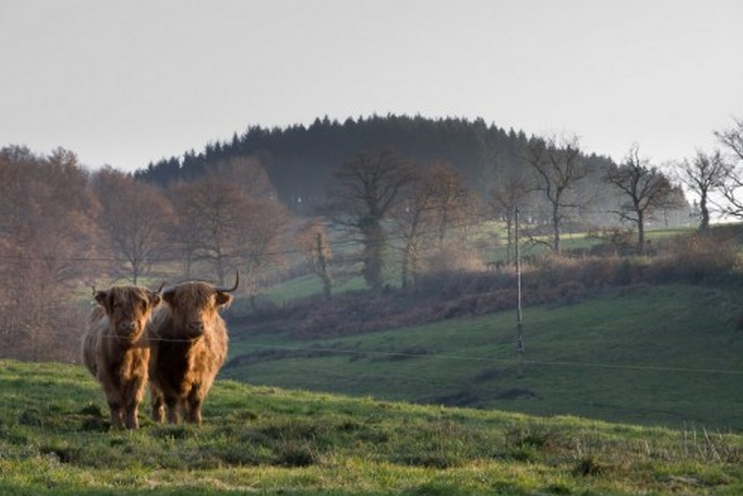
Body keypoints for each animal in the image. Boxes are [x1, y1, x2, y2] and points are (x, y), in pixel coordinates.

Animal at [81, 284, 161, 428]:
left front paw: (133, 425)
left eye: (141, 305)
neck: (126, 351)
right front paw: (117, 425)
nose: (129, 325)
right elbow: (114, 401)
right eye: (117, 305)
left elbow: (133, 400)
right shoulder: (106, 373)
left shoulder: (140, 373)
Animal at [145, 274, 238, 424]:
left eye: (209, 305)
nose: (196, 326)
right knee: (157, 399)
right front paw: (173, 422)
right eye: (183, 304)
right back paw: (157, 418)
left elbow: (196, 399)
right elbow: (171, 399)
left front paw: (195, 421)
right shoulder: (163, 373)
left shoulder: (205, 374)